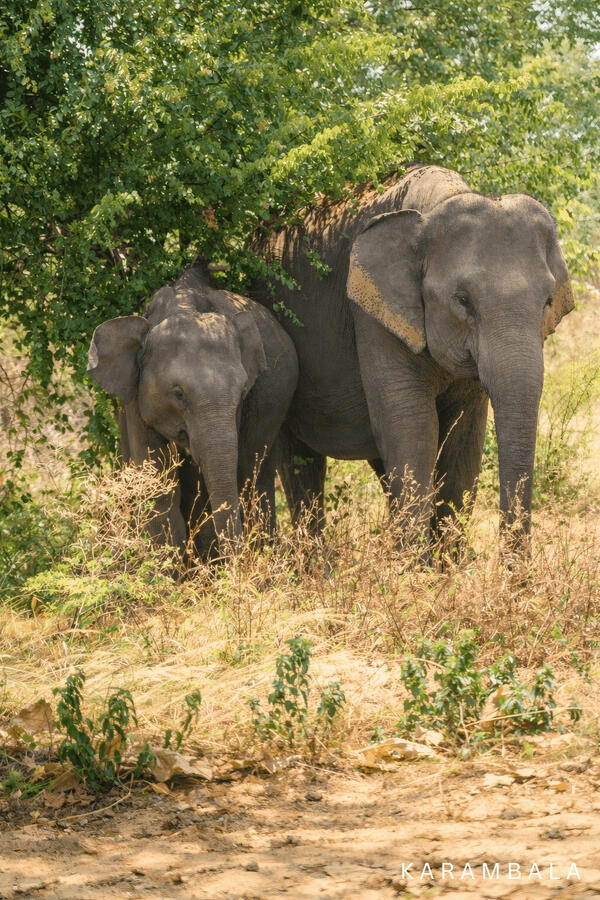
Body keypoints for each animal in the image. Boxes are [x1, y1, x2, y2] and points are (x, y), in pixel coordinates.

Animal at [251, 164, 574, 544]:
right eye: (462, 300)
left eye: (548, 301)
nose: (511, 562)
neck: (437, 204)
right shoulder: (371, 312)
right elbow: (411, 425)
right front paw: (417, 561)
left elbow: (463, 439)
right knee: (297, 460)